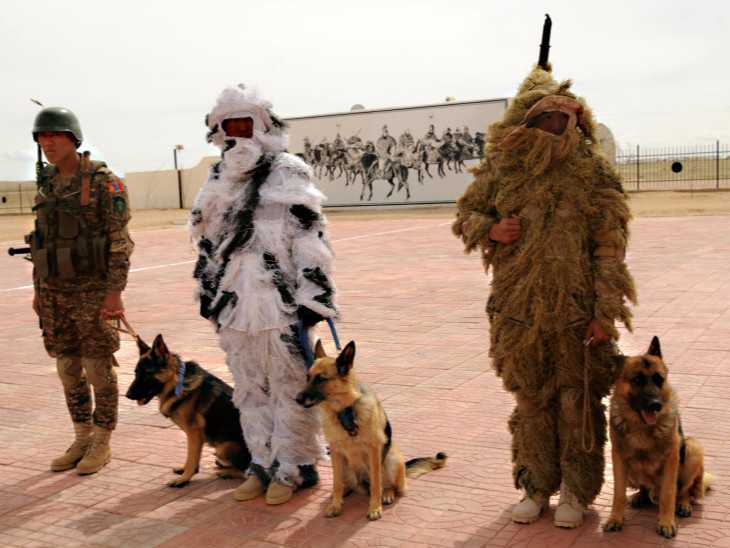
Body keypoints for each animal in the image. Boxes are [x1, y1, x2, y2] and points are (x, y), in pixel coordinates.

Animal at [125, 334, 250, 488]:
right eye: (136, 373)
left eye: (146, 375)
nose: (127, 395)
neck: (176, 383)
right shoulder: (192, 435)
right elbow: (191, 455)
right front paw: (185, 470)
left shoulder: (193, 433)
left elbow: (191, 456)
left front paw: (184, 478)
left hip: (224, 446)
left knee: (248, 472)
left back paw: (228, 472)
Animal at [600, 336, 708, 536]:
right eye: (637, 379)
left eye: (659, 379)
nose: (656, 405)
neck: (641, 427)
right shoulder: (618, 458)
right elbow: (619, 495)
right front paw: (615, 519)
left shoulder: (671, 459)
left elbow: (668, 495)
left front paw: (666, 522)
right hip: (631, 473)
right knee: (643, 487)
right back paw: (640, 496)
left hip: (693, 451)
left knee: (684, 490)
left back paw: (683, 504)